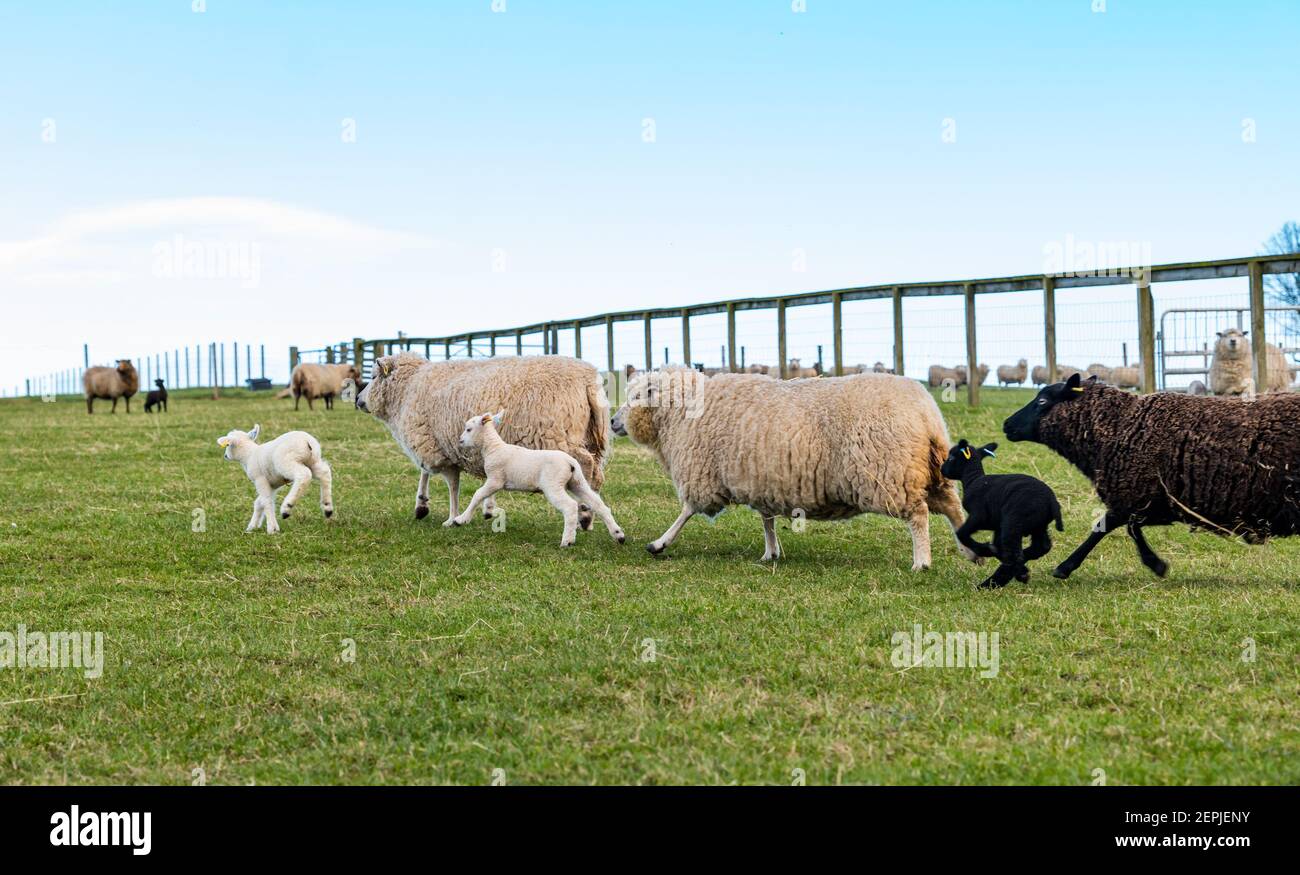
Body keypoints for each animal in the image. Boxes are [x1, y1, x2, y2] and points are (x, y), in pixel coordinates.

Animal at [353, 351, 611, 527]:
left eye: (373, 376)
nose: (358, 400)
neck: (409, 388)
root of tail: (587, 379)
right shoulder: (450, 447)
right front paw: (487, 509)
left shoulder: (434, 444)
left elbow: (446, 483)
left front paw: (439, 512)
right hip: (591, 439)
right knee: (597, 474)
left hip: (559, 438)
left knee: (586, 468)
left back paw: (585, 514)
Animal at [449, 410, 626, 546]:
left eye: (469, 429)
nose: (460, 441)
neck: (493, 448)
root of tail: (570, 463)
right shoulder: (494, 480)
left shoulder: (495, 479)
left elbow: (477, 494)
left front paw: (461, 519)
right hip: (577, 482)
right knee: (599, 505)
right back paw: (618, 535)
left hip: (553, 485)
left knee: (570, 506)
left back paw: (567, 541)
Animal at [608, 366, 977, 566]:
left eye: (637, 397)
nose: (612, 421)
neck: (681, 413)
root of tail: (926, 413)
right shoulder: (760, 479)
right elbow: (767, 519)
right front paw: (771, 552)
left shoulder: (704, 475)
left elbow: (686, 511)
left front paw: (659, 543)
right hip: (930, 470)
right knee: (953, 507)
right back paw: (970, 551)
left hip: (890, 472)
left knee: (919, 514)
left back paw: (922, 561)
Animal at [946, 436, 1066, 587]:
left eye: (951, 457)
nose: (942, 469)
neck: (973, 479)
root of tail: (1052, 502)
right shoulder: (997, 525)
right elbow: (997, 545)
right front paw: (995, 552)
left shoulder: (979, 516)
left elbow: (962, 533)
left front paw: (986, 550)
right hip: (1038, 525)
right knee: (1041, 546)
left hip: (1014, 522)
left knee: (1014, 553)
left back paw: (1012, 576)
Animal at [1003, 371, 1300, 577]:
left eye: (1042, 400)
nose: (1006, 425)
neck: (1117, 426)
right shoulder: (1151, 499)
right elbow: (1127, 527)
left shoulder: (1133, 492)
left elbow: (1106, 527)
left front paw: (1064, 567)